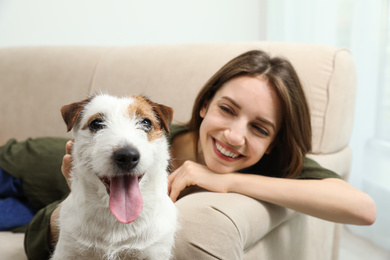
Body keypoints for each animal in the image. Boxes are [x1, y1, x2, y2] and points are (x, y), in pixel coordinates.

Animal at [51, 94, 178, 260]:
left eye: (146, 122)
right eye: (96, 123)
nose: (127, 156)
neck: (117, 219)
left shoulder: (155, 252)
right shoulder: (67, 251)